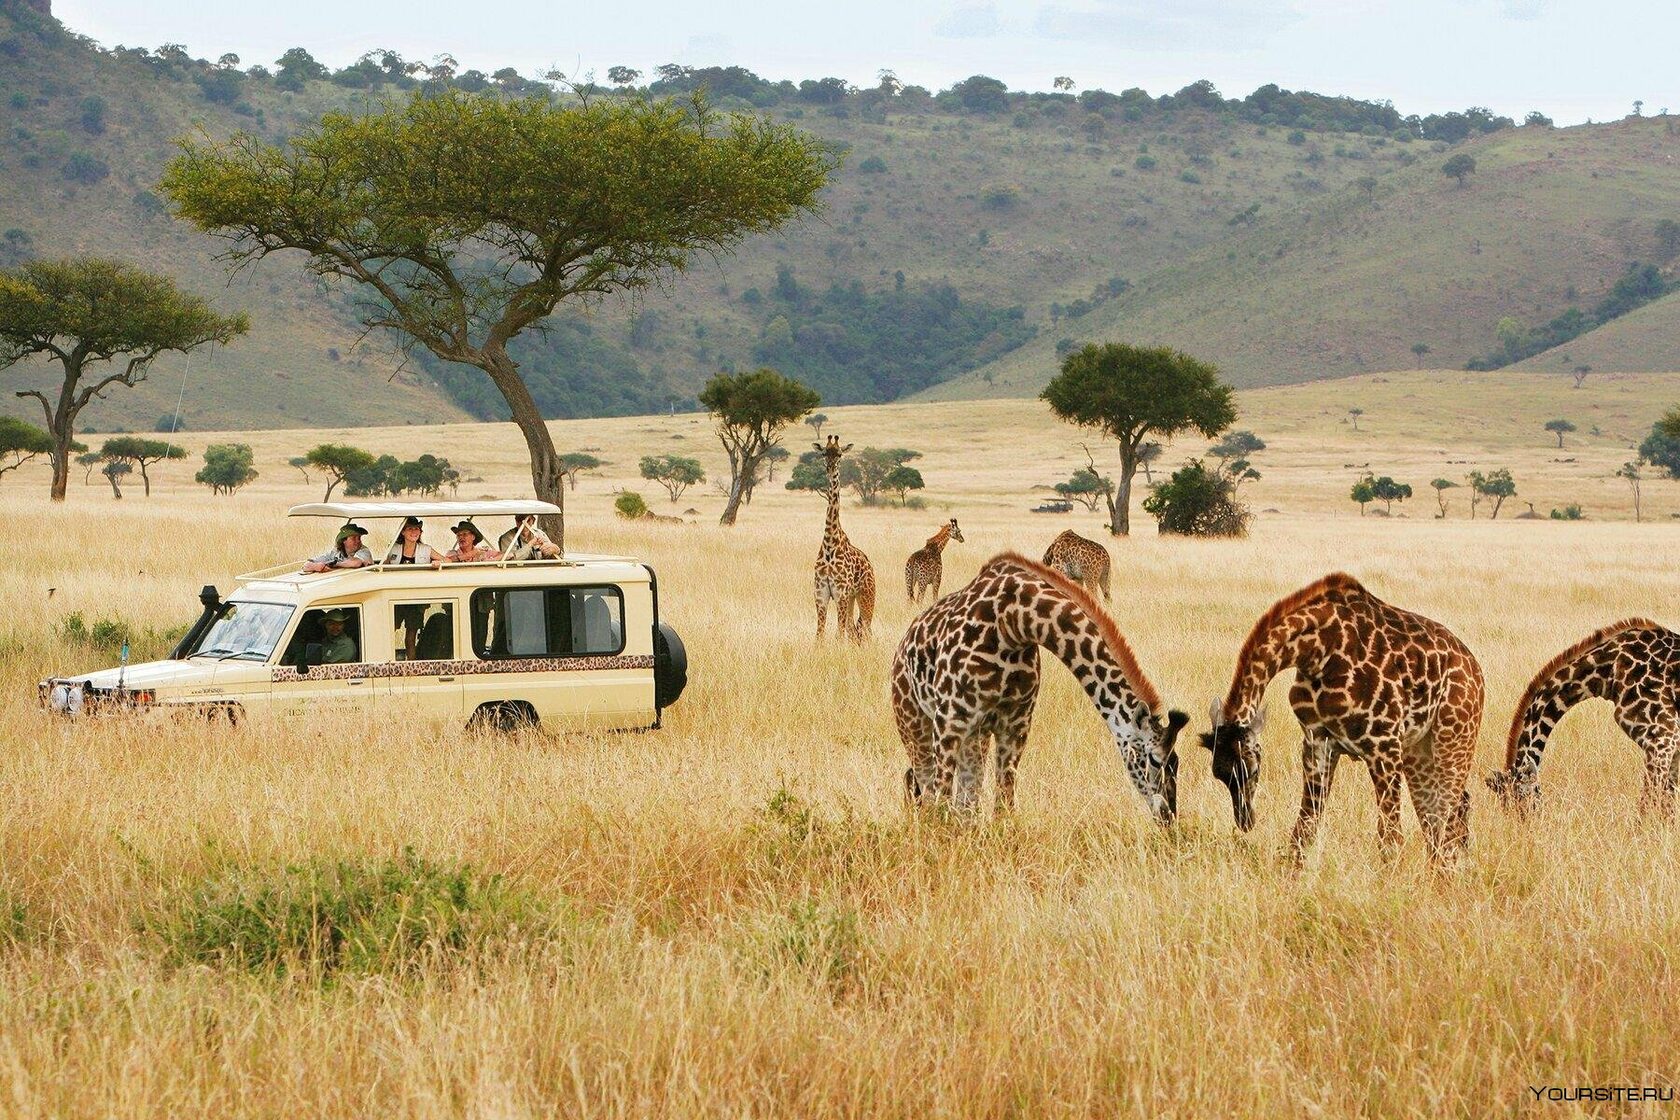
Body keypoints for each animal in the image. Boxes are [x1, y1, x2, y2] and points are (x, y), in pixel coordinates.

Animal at [813, 439, 880, 648]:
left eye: (840, 454)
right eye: (824, 453)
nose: (830, 468)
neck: (830, 543)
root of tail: (870, 564)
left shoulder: (840, 593)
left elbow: (838, 634)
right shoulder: (821, 594)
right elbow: (819, 635)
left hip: (866, 594)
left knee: (865, 628)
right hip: (851, 598)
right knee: (854, 629)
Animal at [887, 554, 1189, 822]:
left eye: (1176, 762)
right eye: (1154, 759)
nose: (1169, 816)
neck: (1014, 623)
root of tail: (901, 647)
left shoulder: (1016, 726)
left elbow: (1003, 806)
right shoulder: (949, 722)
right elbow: (941, 802)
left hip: (975, 737)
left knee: (966, 801)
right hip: (914, 724)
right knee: (925, 789)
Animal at [1202, 574, 1491, 873]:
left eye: (1253, 770)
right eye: (1219, 774)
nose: (1245, 821)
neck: (1318, 652)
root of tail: (1475, 668)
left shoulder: (1384, 744)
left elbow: (1390, 839)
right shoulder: (1317, 741)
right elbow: (1304, 828)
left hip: (1454, 737)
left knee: (1449, 816)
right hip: (1418, 750)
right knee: (1439, 818)